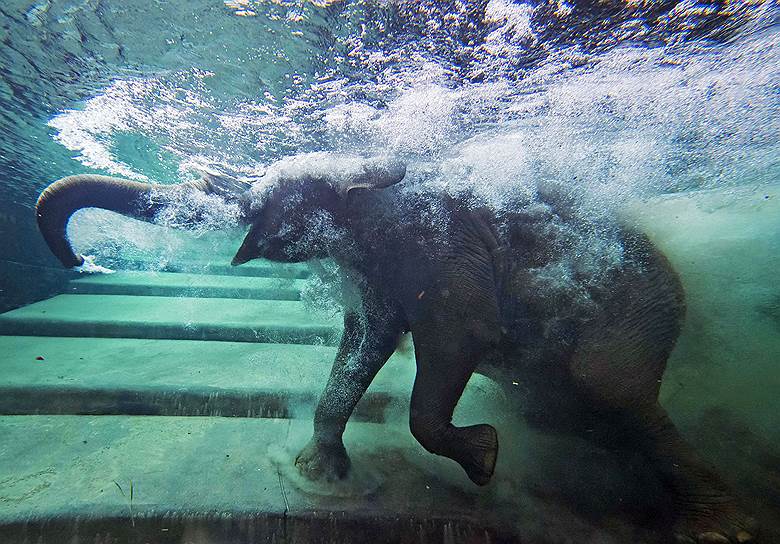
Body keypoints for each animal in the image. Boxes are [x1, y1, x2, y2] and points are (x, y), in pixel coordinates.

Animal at [35, 154, 756, 544]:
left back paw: (715, 528)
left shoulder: (442, 248)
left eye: (262, 196)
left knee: (611, 388)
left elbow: (457, 340)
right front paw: (320, 474)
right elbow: (364, 341)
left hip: (636, 313)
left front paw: (484, 460)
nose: (81, 261)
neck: (372, 179)